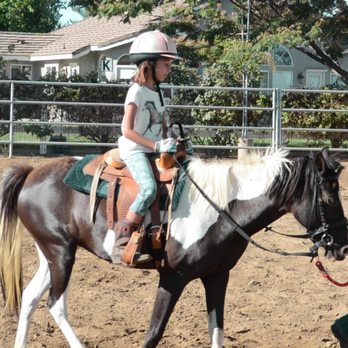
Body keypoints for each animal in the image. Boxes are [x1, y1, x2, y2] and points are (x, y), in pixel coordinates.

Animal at [0, 146, 346, 346]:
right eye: (330, 196)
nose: (341, 247)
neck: (222, 207)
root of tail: (31, 173)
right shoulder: (173, 278)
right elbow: (153, 333)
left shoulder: (217, 277)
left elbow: (216, 331)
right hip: (61, 253)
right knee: (56, 304)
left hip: (51, 253)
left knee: (30, 298)